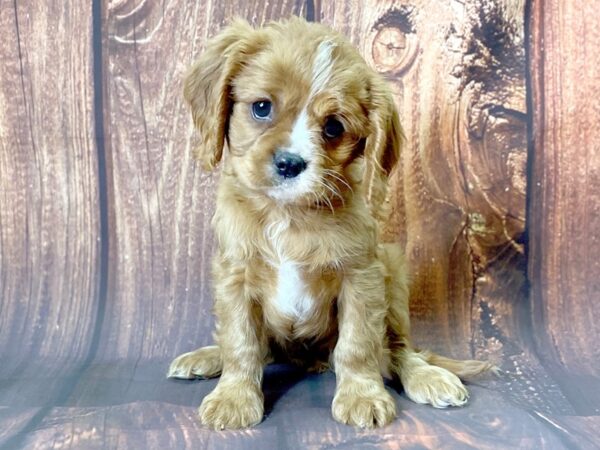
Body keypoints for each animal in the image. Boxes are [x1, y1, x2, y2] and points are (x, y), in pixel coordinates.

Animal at [168, 16, 492, 428]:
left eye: (334, 127)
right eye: (261, 107)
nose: (290, 164)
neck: (288, 214)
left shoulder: (362, 277)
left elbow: (358, 344)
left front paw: (362, 396)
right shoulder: (234, 276)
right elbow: (241, 342)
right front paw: (234, 397)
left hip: (393, 274)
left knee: (399, 350)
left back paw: (428, 376)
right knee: (257, 347)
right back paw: (207, 357)